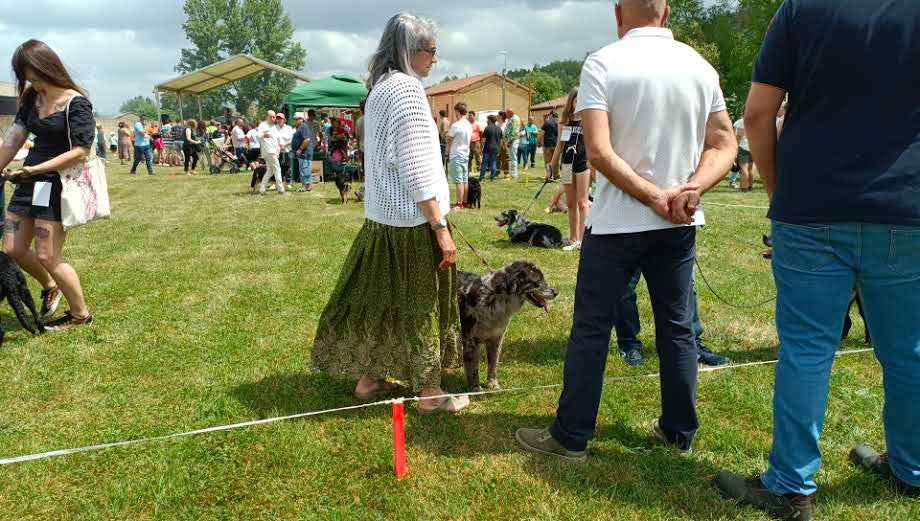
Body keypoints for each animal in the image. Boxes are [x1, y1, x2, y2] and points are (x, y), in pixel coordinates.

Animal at [458, 260, 556, 390]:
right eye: (538, 280)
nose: (556, 292)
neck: (494, 298)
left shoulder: (496, 338)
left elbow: (493, 365)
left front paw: (493, 386)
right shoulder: (471, 341)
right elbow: (473, 369)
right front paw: (476, 389)